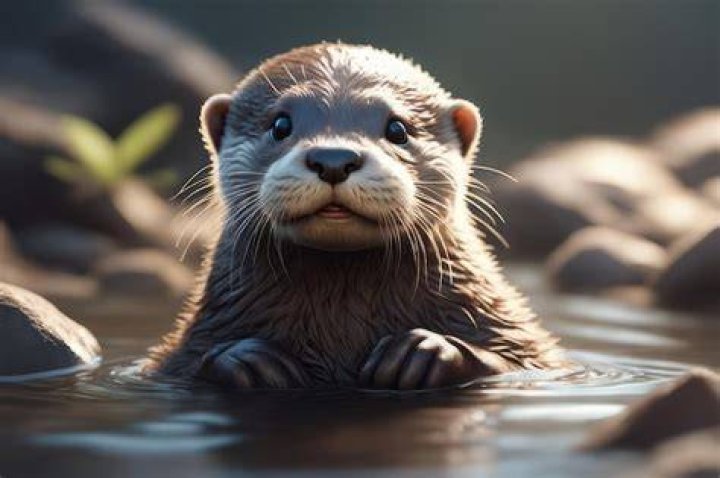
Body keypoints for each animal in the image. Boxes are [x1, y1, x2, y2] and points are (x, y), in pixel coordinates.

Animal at [145, 43, 564, 390]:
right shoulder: (178, 353)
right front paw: (245, 359)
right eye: (280, 125)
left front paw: (426, 351)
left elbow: (526, 364)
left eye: (397, 128)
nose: (333, 157)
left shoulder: (525, 343)